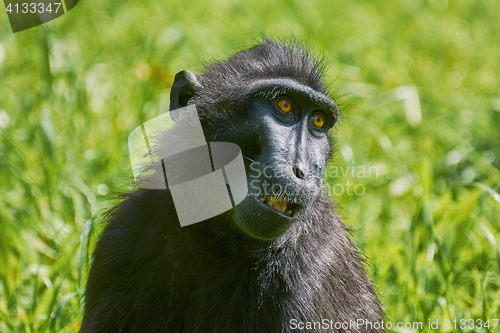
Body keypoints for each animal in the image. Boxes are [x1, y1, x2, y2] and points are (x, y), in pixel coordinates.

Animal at [81, 39, 386, 332]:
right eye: (284, 105)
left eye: (318, 121)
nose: (302, 170)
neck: (219, 239)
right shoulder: (123, 238)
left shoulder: (313, 265)